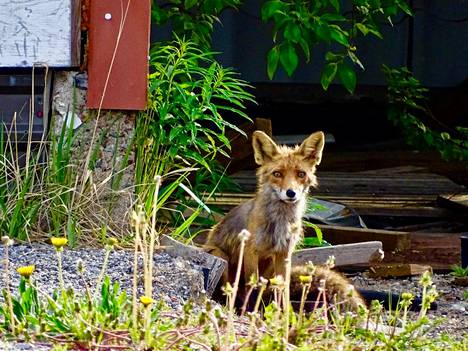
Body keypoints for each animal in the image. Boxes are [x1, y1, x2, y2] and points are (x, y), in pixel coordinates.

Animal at [206, 131, 366, 312]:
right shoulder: (250, 251)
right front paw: (250, 313)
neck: (280, 222)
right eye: (277, 174)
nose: (291, 193)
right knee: (229, 292)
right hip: (220, 256)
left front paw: (283, 314)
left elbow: (284, 288)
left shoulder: (284, 253)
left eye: (301, 174)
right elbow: (252, 288)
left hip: (269, 265)